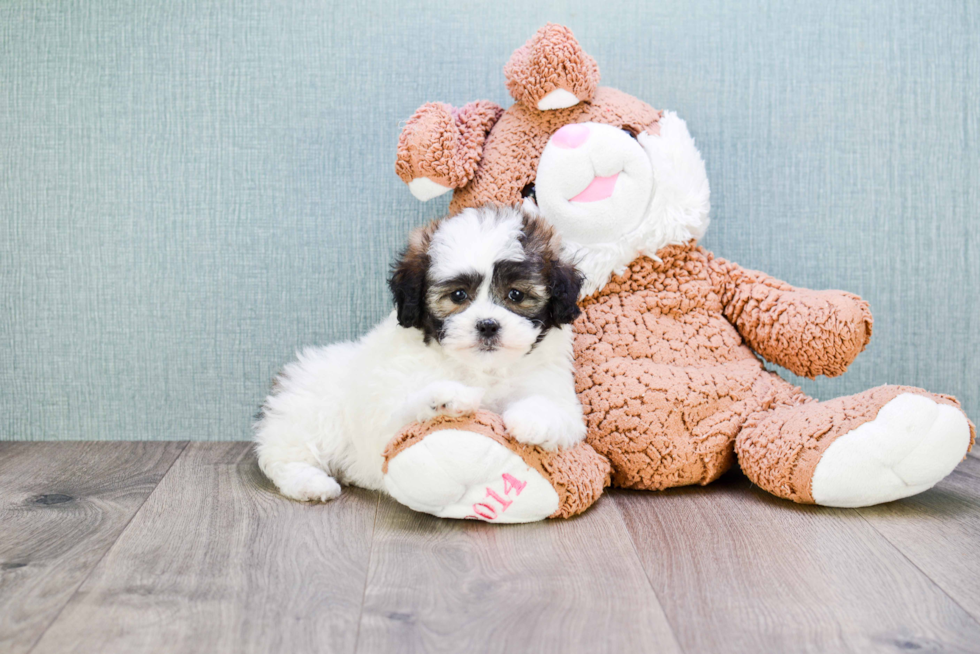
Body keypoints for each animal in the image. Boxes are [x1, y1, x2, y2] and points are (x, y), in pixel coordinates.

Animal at [256, 205, 584, 502]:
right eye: (458, 295)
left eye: (516, 294)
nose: (488, 325)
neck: (480, 368)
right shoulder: (386, 417)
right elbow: (404, 415)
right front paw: (446, 398)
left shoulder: (553, 386)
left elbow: (557, 408)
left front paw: (534, 420)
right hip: (308, 413)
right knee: (284, 456)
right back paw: (310, 484)